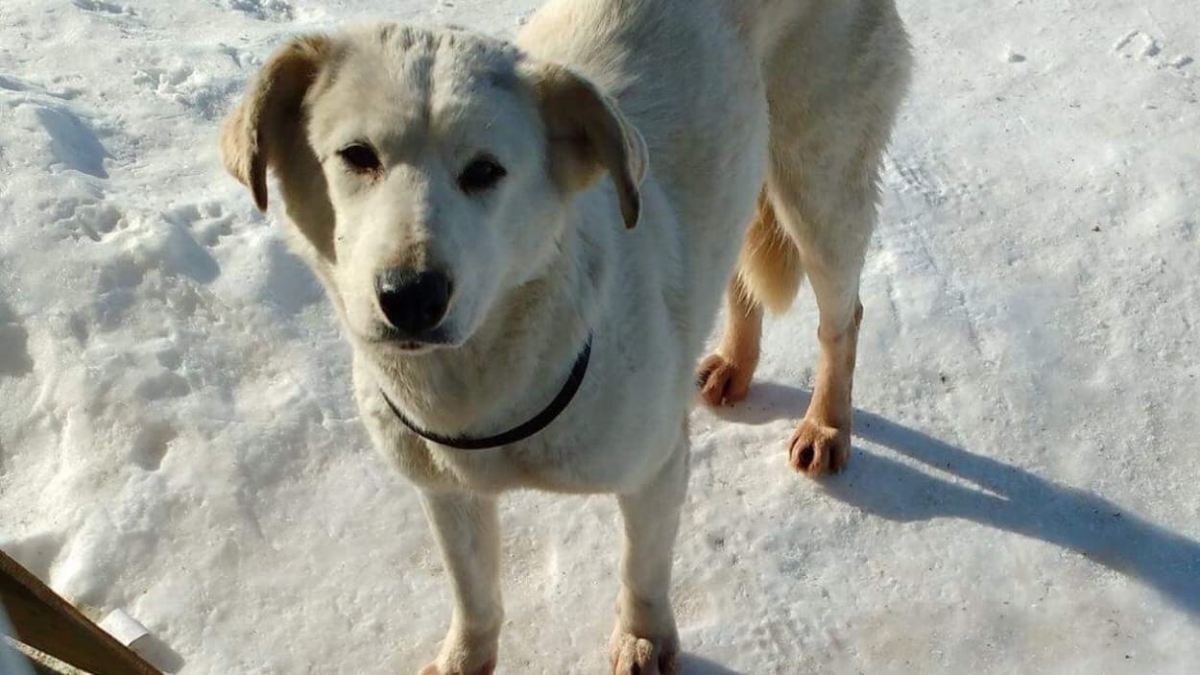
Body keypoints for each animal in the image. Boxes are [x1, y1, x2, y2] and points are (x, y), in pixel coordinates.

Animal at [218, 2, 907, 667]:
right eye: (357, 156)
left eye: (486, 171)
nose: (411, 297)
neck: (481, 390)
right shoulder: (444, 490)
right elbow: (473, 594)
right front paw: (466, 657)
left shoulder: (657, 467)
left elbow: (642, 571)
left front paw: (644, 641)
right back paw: (736, 363)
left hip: (820, 184)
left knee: (842, 317)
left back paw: (826, 424)